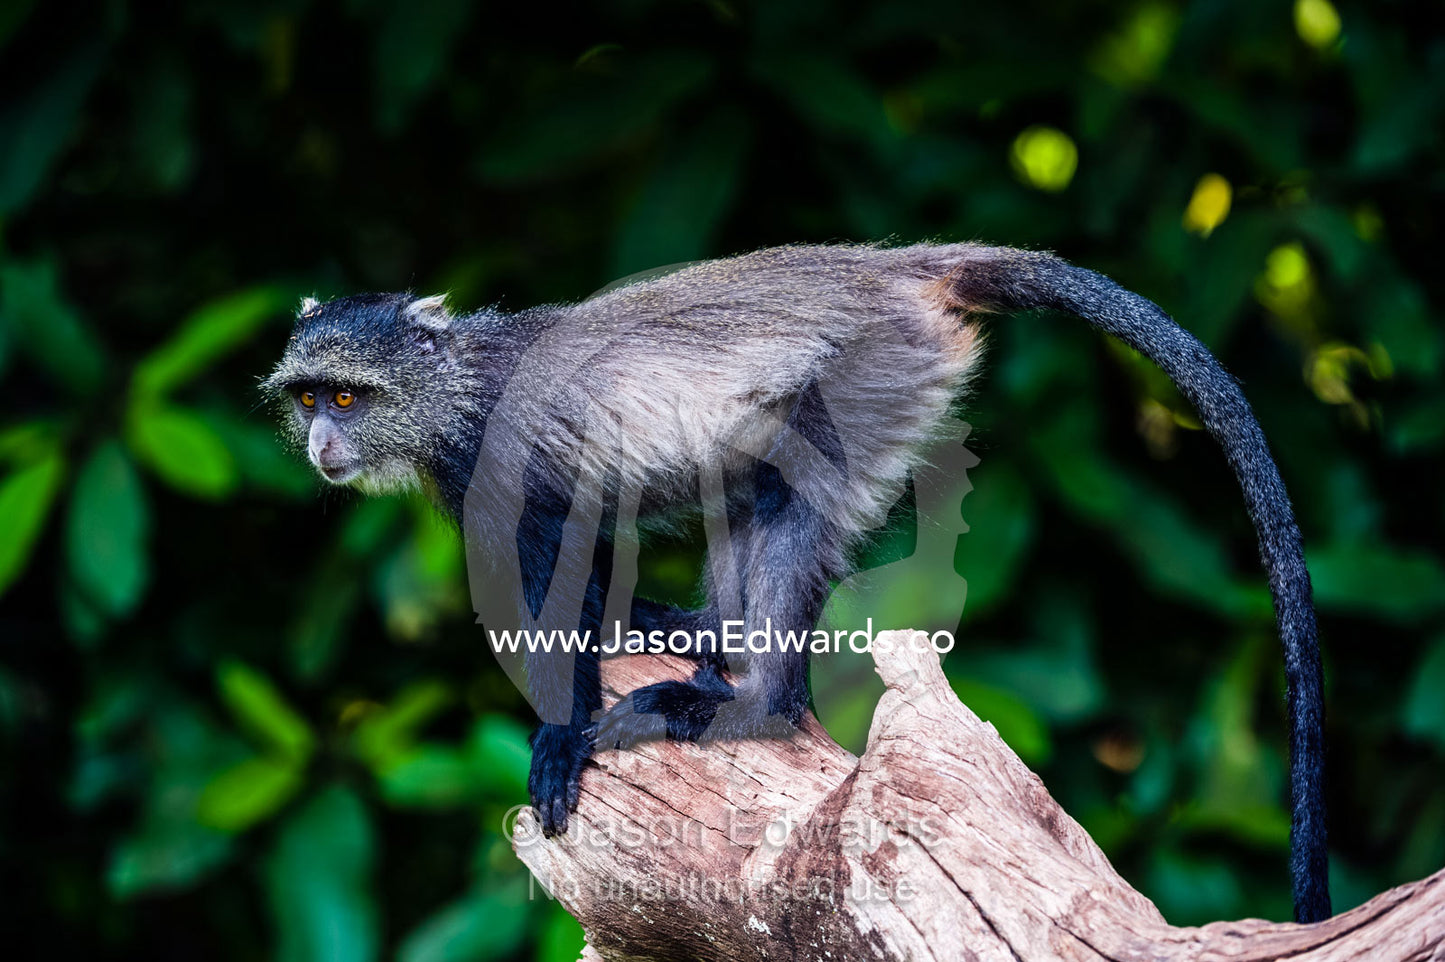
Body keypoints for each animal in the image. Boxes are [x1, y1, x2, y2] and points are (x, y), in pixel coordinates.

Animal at [265, 242, 1329, 923]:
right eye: (310, 398)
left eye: (348, 396)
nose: (321, 447)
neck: (459, 389)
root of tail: (891, 267)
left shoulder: (502, 467)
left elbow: (560, 566)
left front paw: (562, 735)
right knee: (750, 492)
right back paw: (711, 640)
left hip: (872, 377)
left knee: (789, 504)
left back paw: (757, 704)